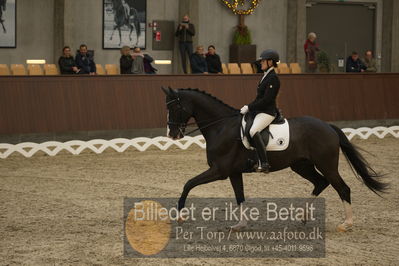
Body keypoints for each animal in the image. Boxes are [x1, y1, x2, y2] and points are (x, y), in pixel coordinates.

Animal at [162, 88, 388, 233]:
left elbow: (188, 184)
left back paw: (346, 224)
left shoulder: (220, 171)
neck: (221, 126)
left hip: (327, 164)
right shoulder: (233, 172)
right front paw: (240, 225)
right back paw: (303, 216)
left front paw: (180, 215)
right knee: (320, 182)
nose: (171, 134)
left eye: (175, 108)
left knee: (342, 188)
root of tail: (328, 126)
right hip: (301, 165)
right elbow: (239, 197)